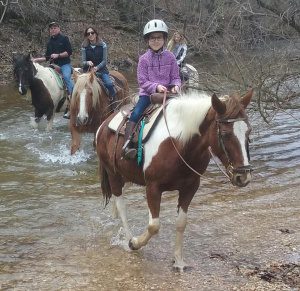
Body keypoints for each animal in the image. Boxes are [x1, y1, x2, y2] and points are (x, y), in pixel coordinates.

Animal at [95, 88, 253, 272]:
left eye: (248, 131)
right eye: (226, 134)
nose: (243, 176)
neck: (179, 143)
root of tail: (104, 125)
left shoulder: (190, 187)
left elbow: (181, 223)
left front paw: (179, 261)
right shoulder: (153, 187)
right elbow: (154, 225)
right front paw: (134, 243)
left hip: (125, 176)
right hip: (112, 173)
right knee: (121, 206)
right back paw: (128, 239)